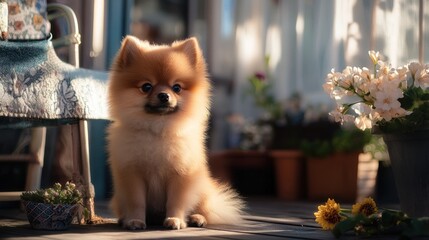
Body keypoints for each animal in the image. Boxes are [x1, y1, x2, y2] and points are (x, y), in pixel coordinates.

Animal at [107, 36, 244, 231]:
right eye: (146, 87)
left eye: (177, 87)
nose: (164, 95)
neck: (158, 129)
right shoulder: (133, 174)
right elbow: (136, 202)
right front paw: (135, 220)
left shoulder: (181, 174)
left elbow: (176, 201)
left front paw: (175, 219)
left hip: (202, 189)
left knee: (205, 209)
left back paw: (197, 217)